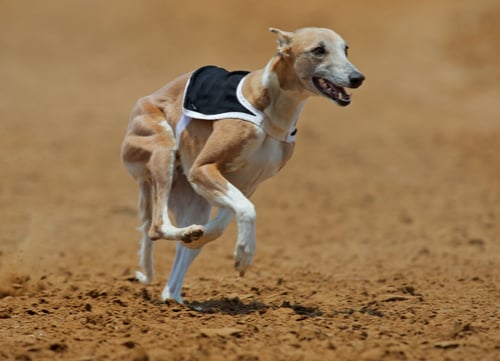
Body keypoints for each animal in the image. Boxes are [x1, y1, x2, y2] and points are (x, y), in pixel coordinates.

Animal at [121, 27, 364, 300]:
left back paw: (178, 285)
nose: (358, 78)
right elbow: (247, 210)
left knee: (179, 262)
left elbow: (226, 220)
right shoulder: (202, 168)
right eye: (319, 50)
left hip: (193, 199)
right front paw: (245, 255)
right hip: (163, 149)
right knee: (157, 227)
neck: (272, 111)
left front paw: (206, 239)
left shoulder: (247, 184)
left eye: (345, 49)